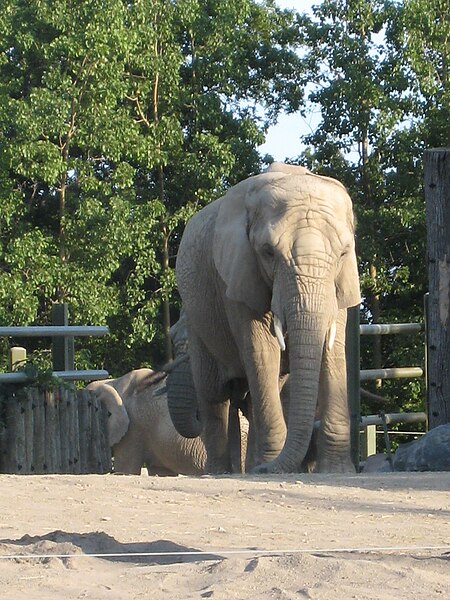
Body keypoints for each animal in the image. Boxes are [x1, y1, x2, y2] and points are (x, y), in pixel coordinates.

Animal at [174, 163, 360, 474]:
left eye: (344, 253)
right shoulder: (236, 275)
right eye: (268, 252)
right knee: (215, 394)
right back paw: (223, 472)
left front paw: (337, 472)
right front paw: (270, 466)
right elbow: (261, 350)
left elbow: (334, 352)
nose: (265, 471)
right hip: (198, 321)